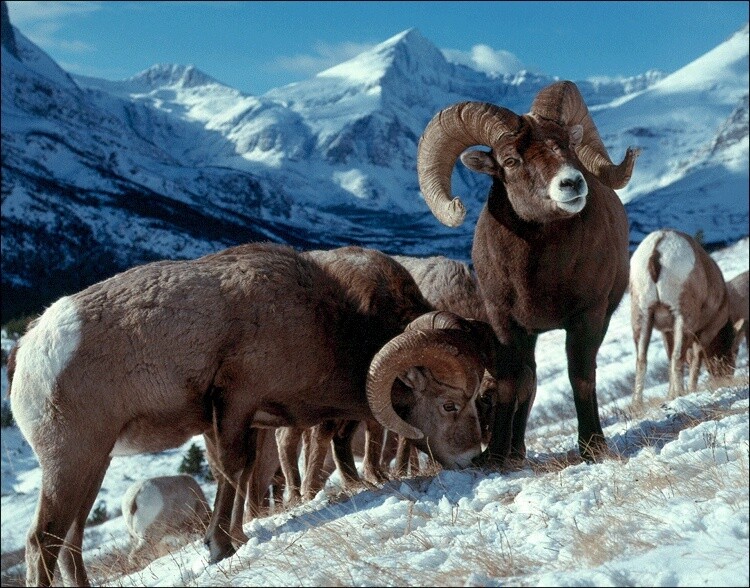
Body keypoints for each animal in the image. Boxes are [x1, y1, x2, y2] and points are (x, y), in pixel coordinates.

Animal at [10, 241, 494, 584]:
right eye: (450, 404)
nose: (473, 458)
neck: (324, 323)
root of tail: (31, 349)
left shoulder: (248, 420)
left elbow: (242, 477)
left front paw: (235, 538)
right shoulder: (236, 404)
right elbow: (233, 470)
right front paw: (221, 547)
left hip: (95, 464)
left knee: (69, 542)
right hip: (70, 460)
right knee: (42, 541)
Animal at [418, 80, 640, 466]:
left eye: (567, 144)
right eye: (510, 160)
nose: (571, 184)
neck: (537, 278)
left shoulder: (587, 318)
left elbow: (581, 376)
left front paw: (592, 447)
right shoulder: (505, 324)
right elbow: (511, 383)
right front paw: (494, 457)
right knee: (528, 379)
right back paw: (515, 451)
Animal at [636, 230, 740, 404]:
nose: (726, 377)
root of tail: (657, 251)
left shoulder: (667, 332)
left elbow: (670, 358)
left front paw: (670, 395)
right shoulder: (705, 332)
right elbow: (695, 358)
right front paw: (690, 389)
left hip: (642, 316)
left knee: (641, 359)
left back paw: (637, 404)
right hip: (683, 319)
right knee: (678, 356)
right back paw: (680, 393)